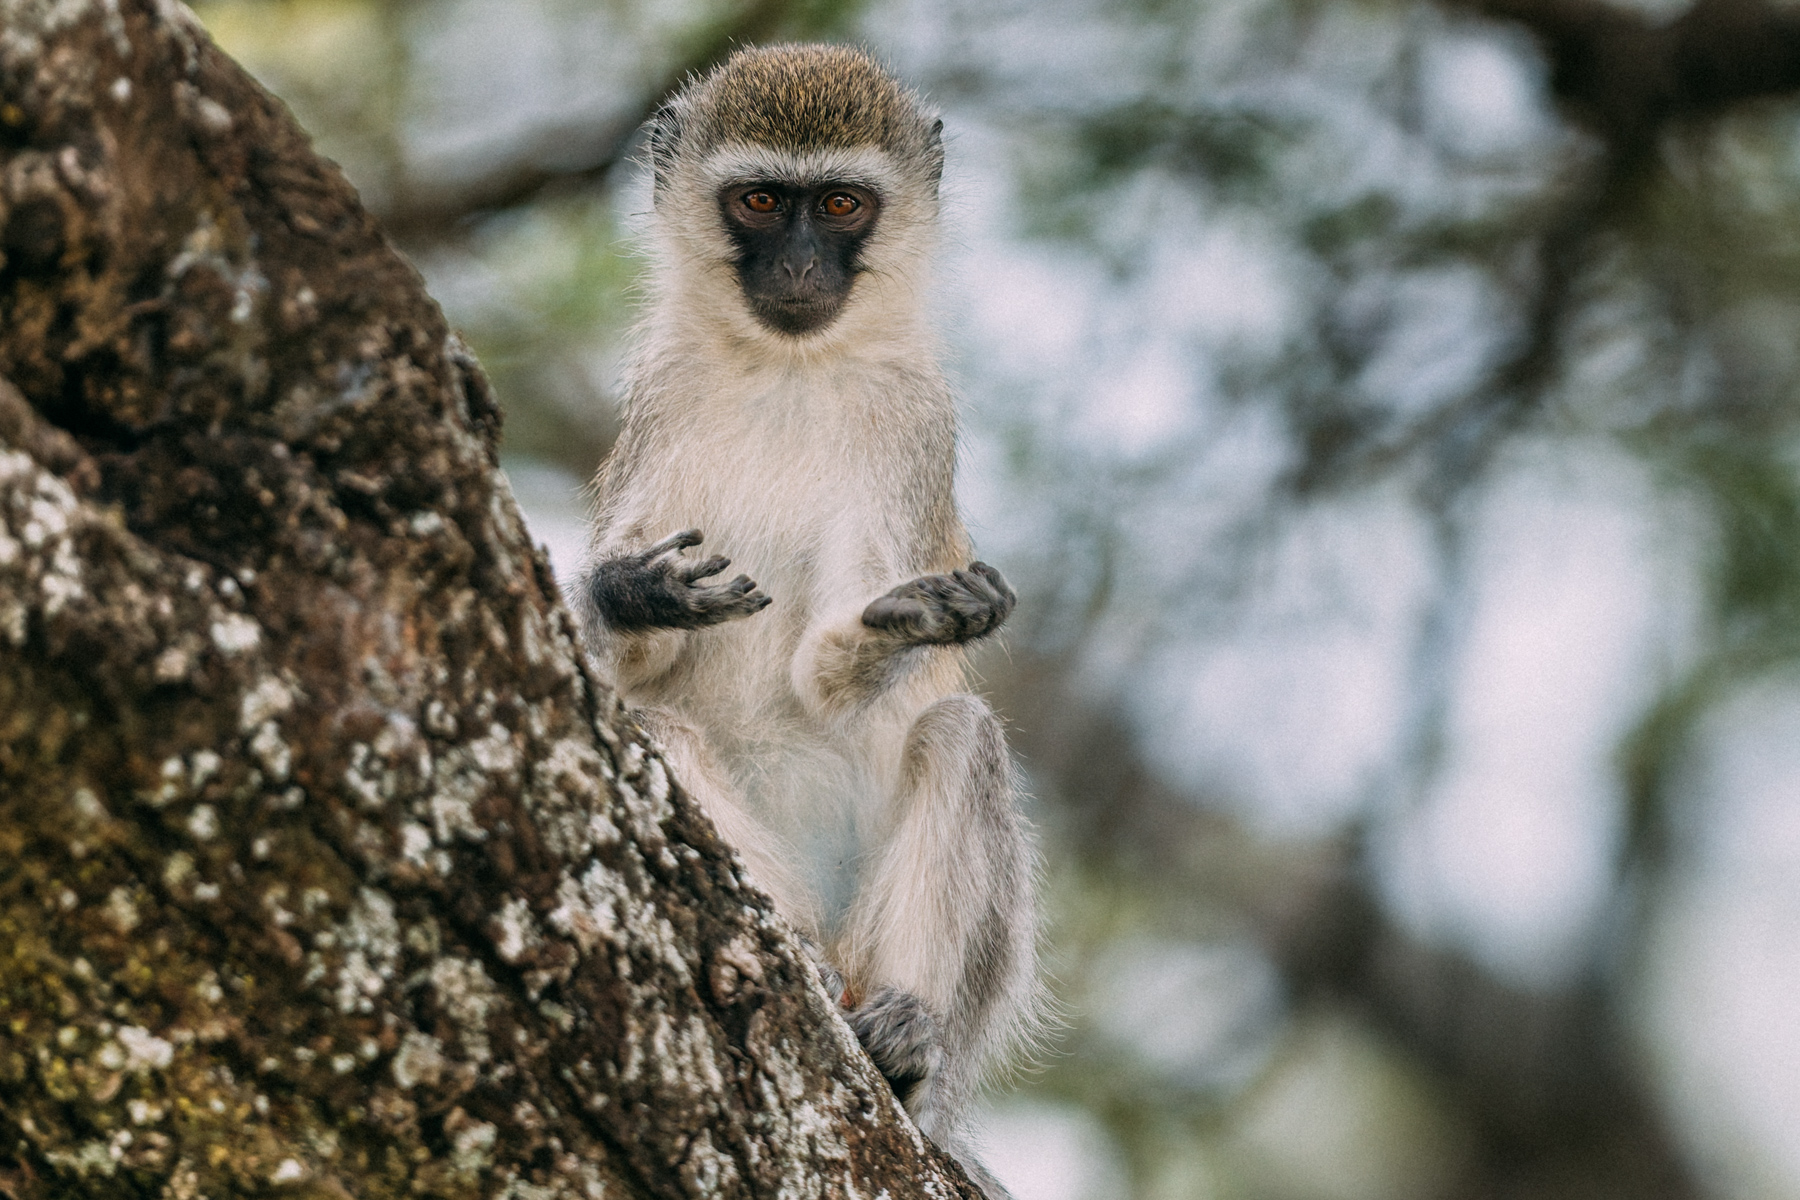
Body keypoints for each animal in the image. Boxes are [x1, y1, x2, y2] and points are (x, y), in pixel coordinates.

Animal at [574, 43, 1040, 1197]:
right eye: (758, 201)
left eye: (837, 204)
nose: (796, 271)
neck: (788, 367)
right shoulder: (657, 401)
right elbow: (625, 674)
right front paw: (633, 591)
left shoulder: (916, 427)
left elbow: (825, 678)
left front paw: (909, 620)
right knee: (655, 731)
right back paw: (795, 955)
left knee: (961, 738)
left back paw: (906, 1042)